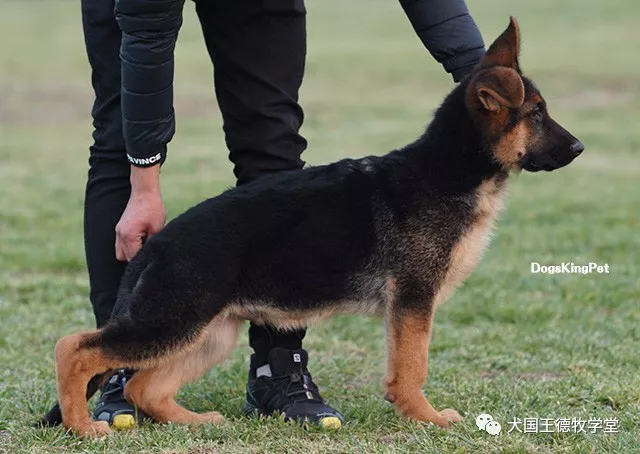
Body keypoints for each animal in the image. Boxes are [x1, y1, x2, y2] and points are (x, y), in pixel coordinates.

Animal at [51, 17, 580, 436]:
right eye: (536, 114)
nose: (579, 148)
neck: (449, 169)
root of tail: (156, 244)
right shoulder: (413, 300)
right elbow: (412, 366)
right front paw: (425, 417)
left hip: (208, 331)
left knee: (145, 384)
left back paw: (192, 421)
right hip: (173, 320)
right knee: (75, 348)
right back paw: (83, 426)